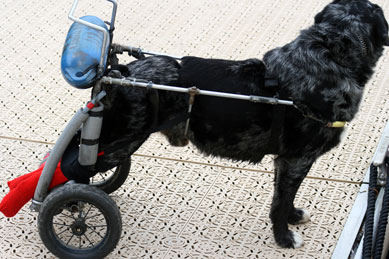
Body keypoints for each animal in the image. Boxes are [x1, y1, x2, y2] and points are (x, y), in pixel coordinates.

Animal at [92, 0, 386, 250]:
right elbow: (282, 202)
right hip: (119, 142)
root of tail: (119, 74)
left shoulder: (285, 162)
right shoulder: (298, 160)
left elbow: (282, 198)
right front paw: (284, 238)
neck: (330, 55)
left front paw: (292, 217)